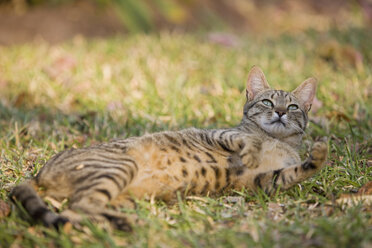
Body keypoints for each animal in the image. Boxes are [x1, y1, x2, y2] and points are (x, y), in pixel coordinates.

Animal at [10, 65, 326, 231]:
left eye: (293, 106)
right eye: (268, 102)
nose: (281, 113)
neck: (277, 140)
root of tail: (39, 174)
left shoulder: (262, 181)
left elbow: (298, 170)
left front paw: (319, 154)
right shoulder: (223, 134)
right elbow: (247, 141)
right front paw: (251, 150)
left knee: (77, 211)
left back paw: (125, 219)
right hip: (118, 167)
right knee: (78, 207)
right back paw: (127, 222)